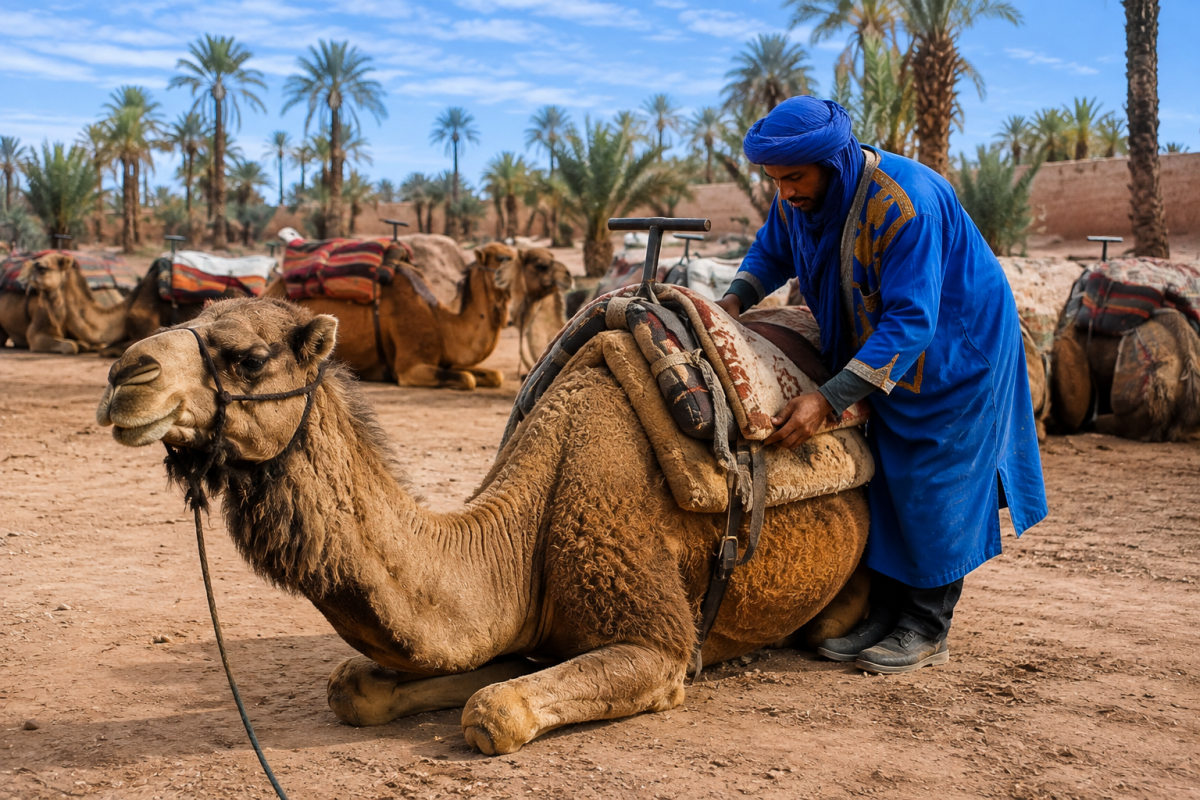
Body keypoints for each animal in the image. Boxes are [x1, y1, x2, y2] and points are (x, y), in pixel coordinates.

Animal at [97, 297, 869, 754]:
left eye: (250, 358)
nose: (124, 374)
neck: (516, 531)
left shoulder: (659, 645)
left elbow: (491, 712)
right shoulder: (519, 626)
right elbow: (359, 687)